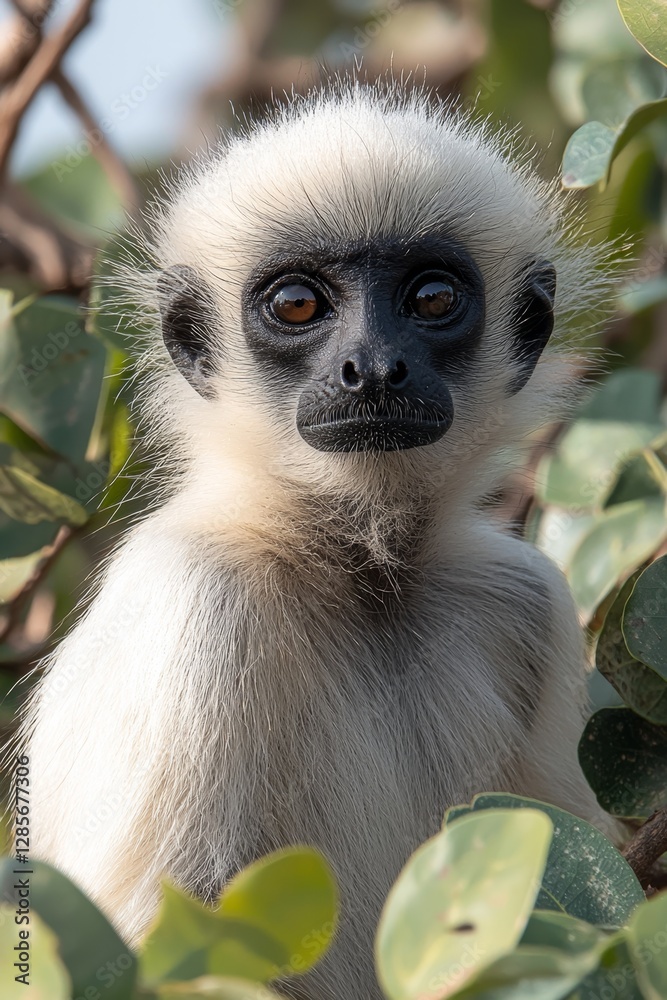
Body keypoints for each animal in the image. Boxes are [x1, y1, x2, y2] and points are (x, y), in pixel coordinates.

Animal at [19, 80, 614, 1000]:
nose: (370, 370)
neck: (358, 571)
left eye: (432, 299)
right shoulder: (193, 596)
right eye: (296, 305)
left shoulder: (527, 594)